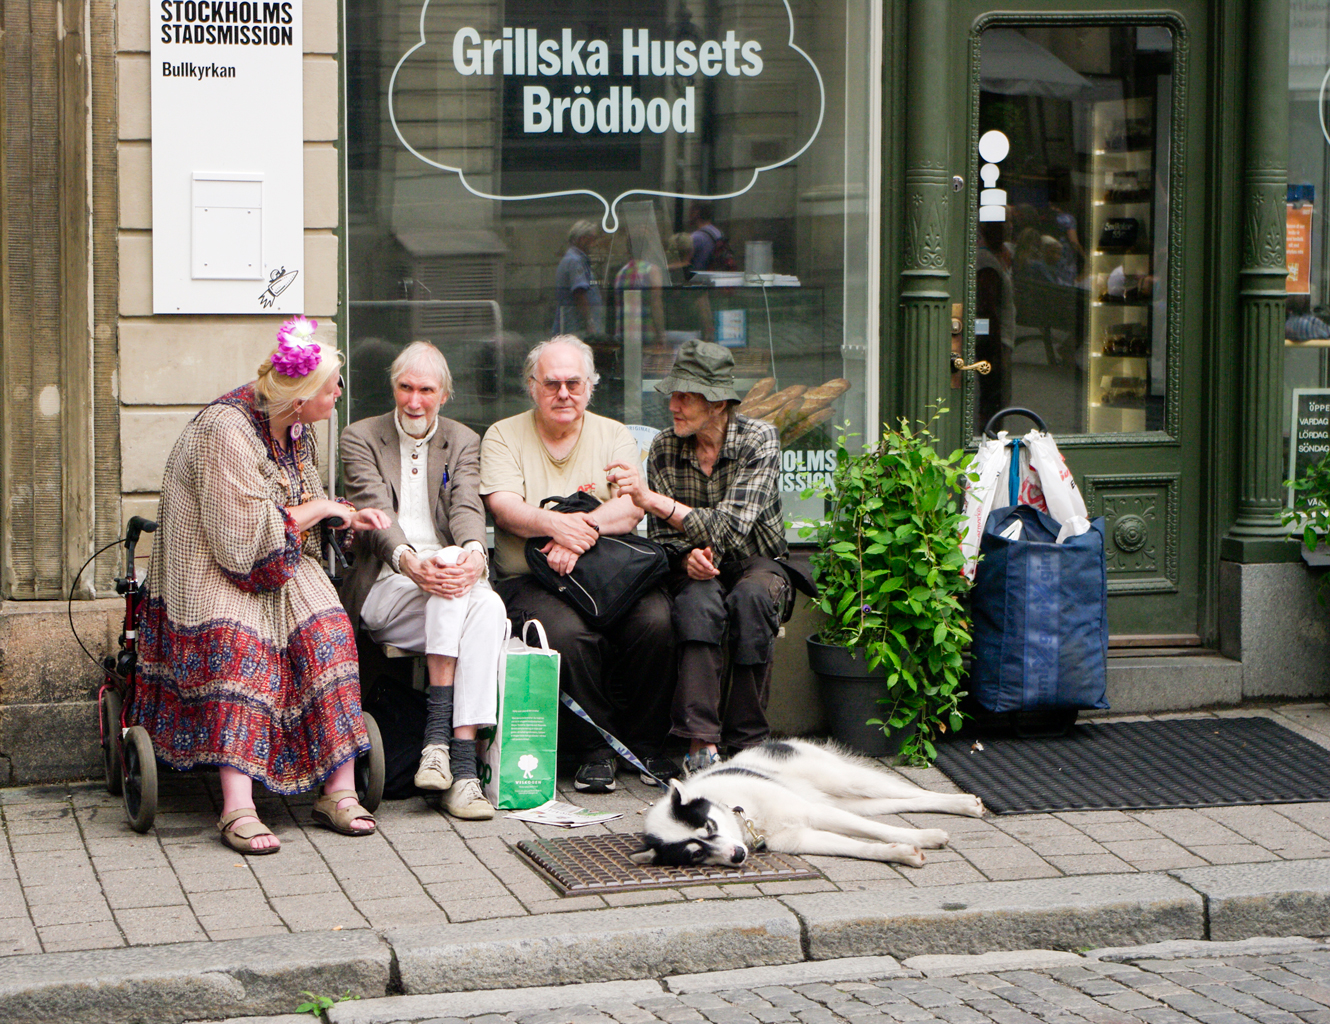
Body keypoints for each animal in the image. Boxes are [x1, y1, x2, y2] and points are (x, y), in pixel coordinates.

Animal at [627, 739, 984, 867]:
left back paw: (964, 803)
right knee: (902, 802)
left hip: (844, 781)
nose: (738, 855)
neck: (744, 814)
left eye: (710, 826)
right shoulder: (802, 838)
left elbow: (879, 831)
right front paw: (899, 853)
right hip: (854, 802)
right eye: (697, 854)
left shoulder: (812, 812)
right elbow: (861, 845)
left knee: (915, 793)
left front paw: (922, 837)